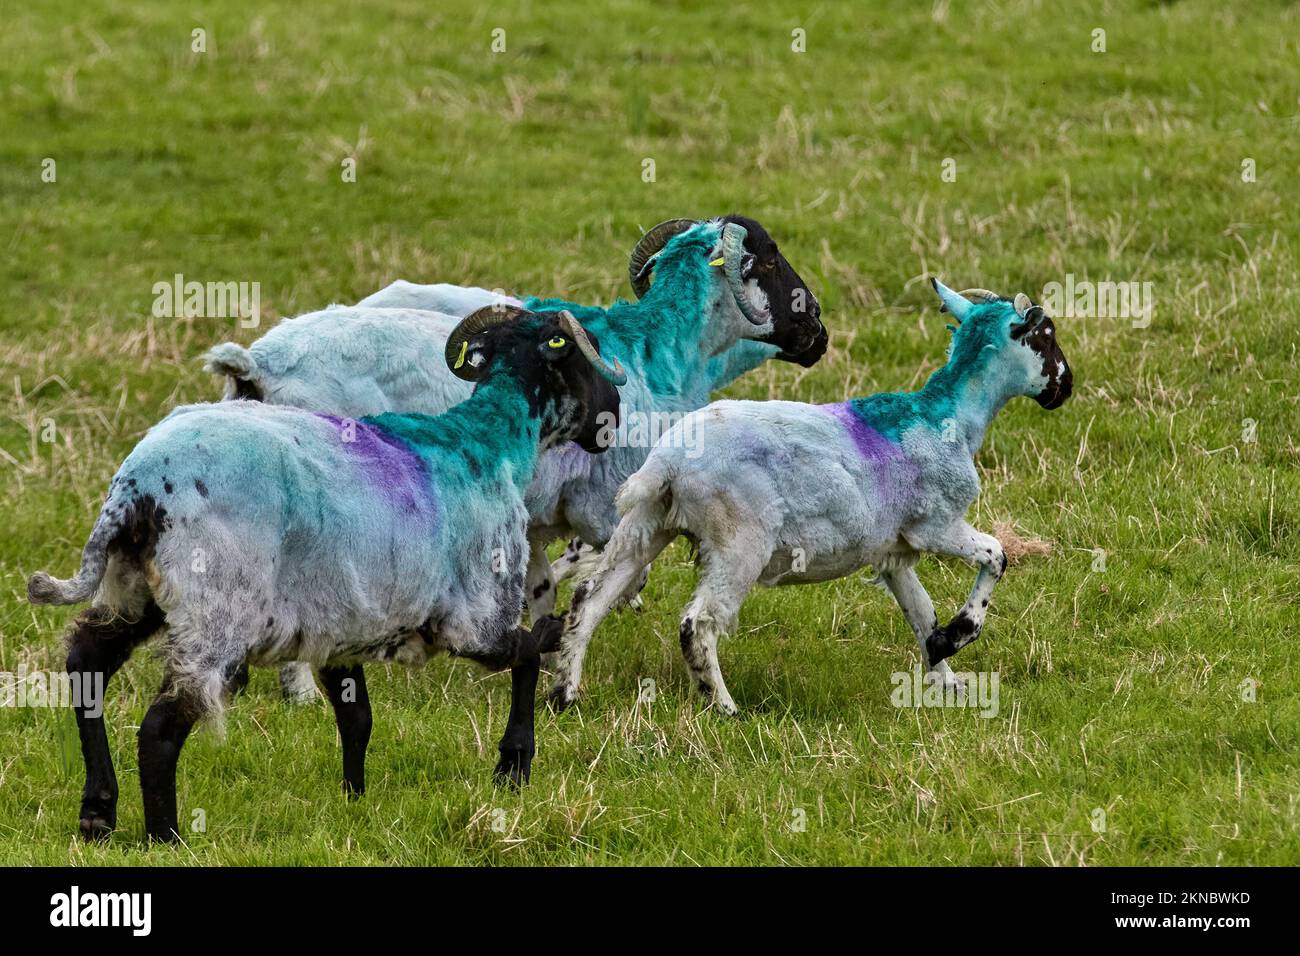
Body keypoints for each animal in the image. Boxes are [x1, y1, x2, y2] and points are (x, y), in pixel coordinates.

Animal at [25, 308, 624, 842]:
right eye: (582, 353)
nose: (614, 416)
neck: (489, 441)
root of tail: (137, 487)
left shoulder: (340, 625)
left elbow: (357, 717)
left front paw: (354, 799)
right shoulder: (474, 617)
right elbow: (527, 653)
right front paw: (514, 766)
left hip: (133, 586)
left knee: (88, 664)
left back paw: (97, 811)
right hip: (215, 610)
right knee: (161, 726)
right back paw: (165, 836)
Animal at [208, 214, 826, 697]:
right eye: (769, 259)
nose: (818, 330)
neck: (661, 353)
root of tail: (258, 365)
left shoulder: (535, 518)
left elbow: (544, 588)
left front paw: (543, 655)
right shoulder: (604, 506)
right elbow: (617, 576)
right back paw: (303, 695)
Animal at [543, 280, 1071, 712]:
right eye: (1045, 335)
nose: (1066, 387)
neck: (948, 417)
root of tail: (667, 462)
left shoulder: (893, 551)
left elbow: (921, 614)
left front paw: (947, 673)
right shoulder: (935, 525)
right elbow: (997, 556)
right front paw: (959, 635)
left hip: (646, 522)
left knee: (590, 600)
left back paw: (565, 694)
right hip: (739, 540)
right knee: (698, 622)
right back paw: (725, 708)